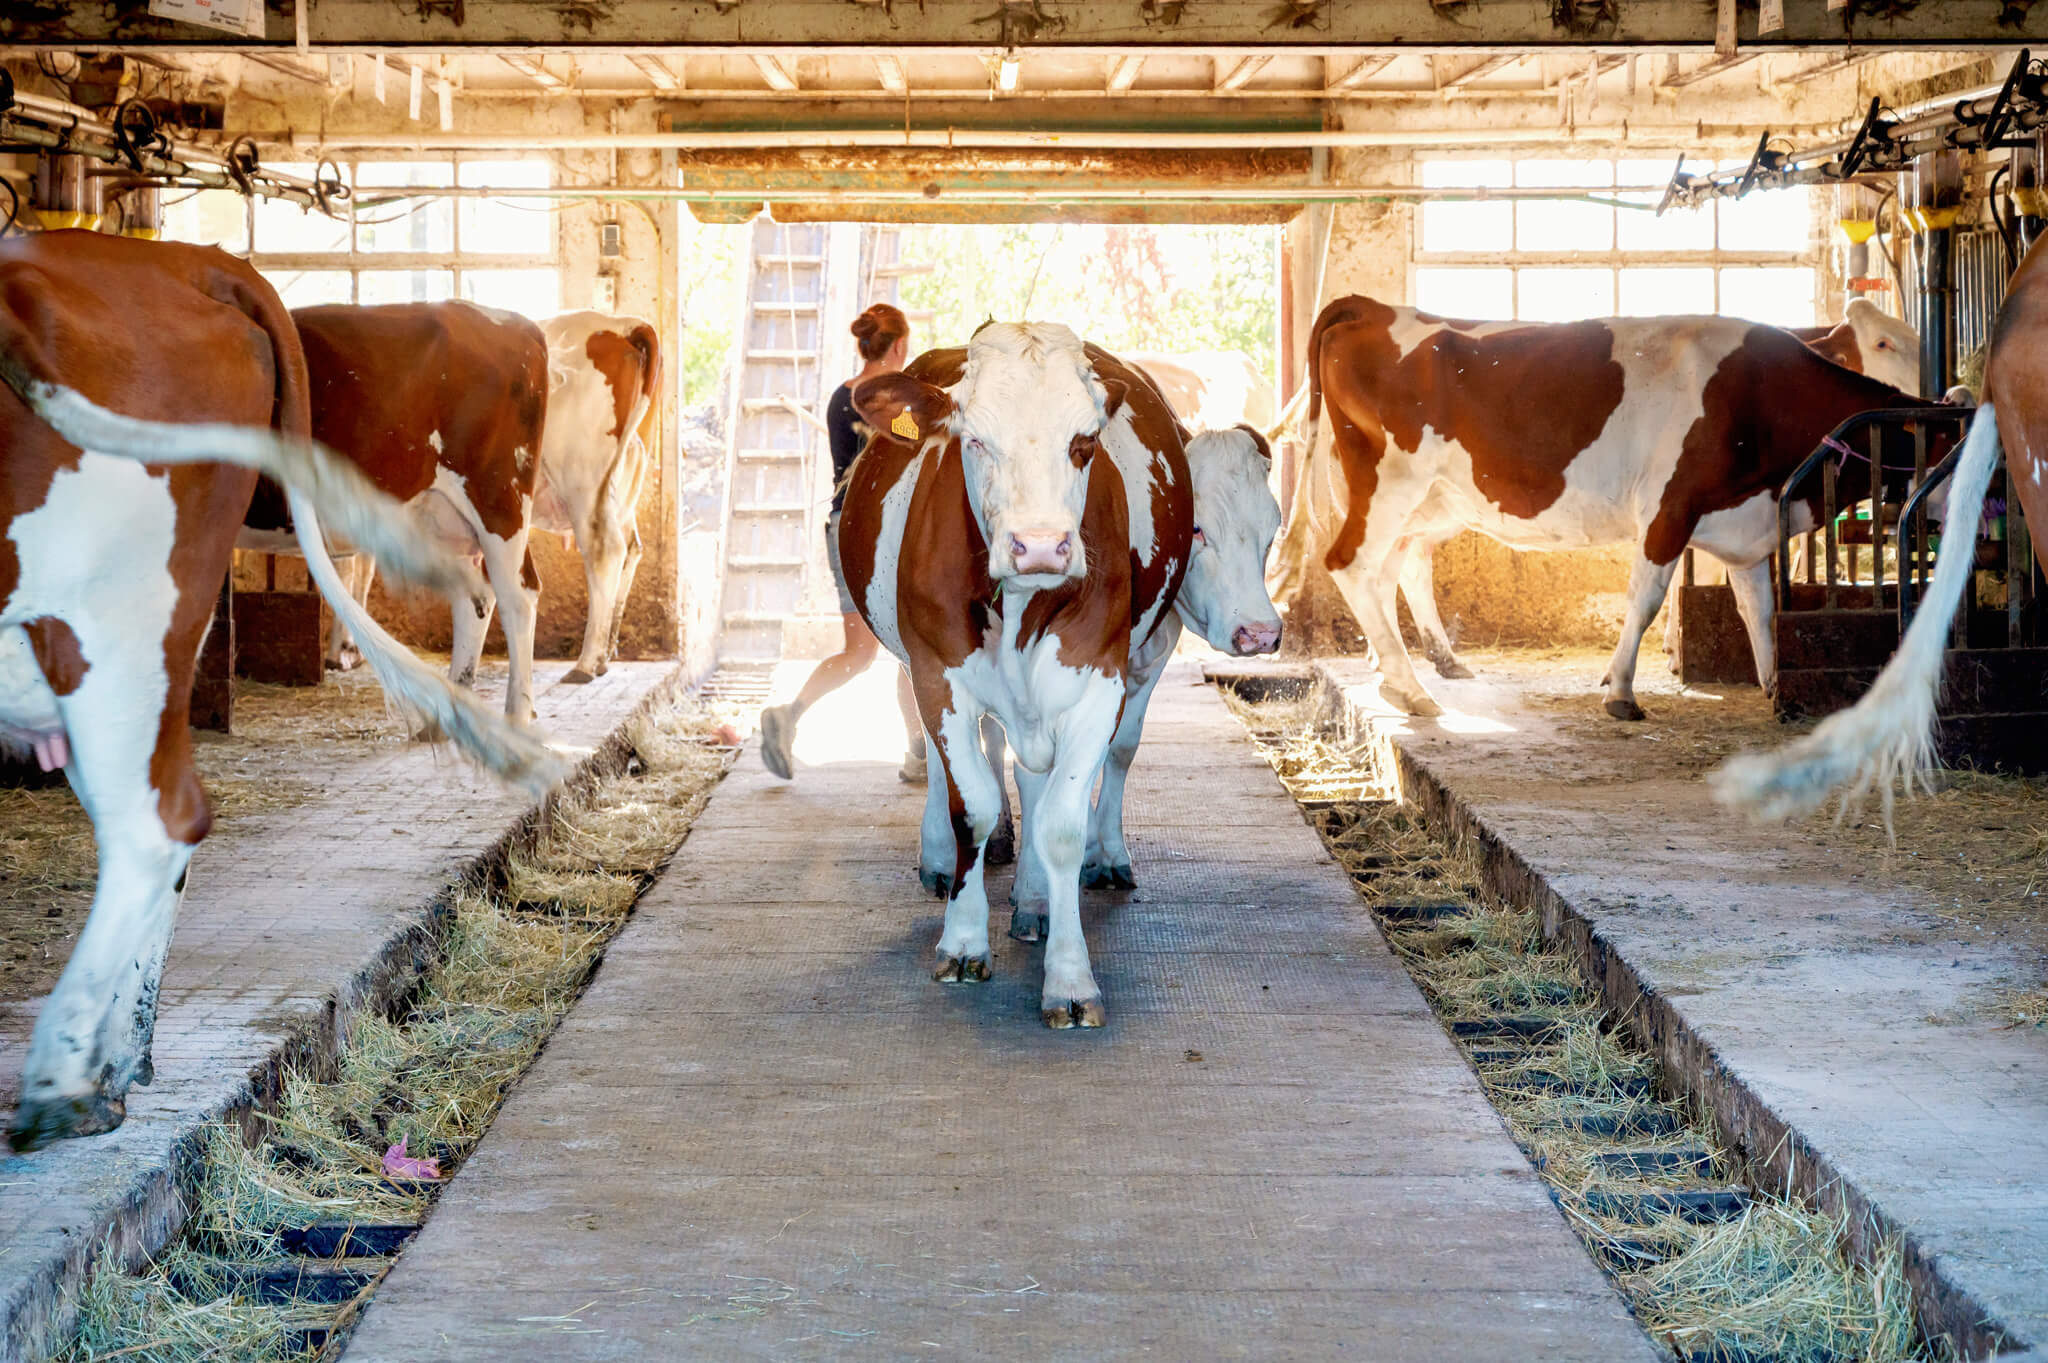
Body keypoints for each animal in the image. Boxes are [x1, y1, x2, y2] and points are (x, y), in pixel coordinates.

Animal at [243, 302, 552, 722]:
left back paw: (514, 716)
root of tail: (519, 323)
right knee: (475, 596)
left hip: (499, 499)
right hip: (444, 517)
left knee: (517, 596)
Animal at [837, 323, 1194, 1028]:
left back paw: (1033, 902)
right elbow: (971, 807)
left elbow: (1060, 822)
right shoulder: (937, 675)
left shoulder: (1098, 681)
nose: (1040, 546)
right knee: (957, 769)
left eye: (1084, 442)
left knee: (1032, 779)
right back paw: (943, 863)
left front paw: (1070, 977)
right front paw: (962, 941)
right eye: (974, 439)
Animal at [1275, 295, 1952, 721]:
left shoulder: (1748, 524)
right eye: (1885, 341)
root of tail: (1375, 307)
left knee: (1390, 569)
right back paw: (1413, 689)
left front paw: (1773, 686)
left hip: (1422, 499)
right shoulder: (1670, 507)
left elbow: (1758, 609)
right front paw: (1620, 690)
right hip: (1392, 484)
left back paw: (1404, 676)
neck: (1759, 394)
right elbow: (1646, 600)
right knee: (1354, 565)